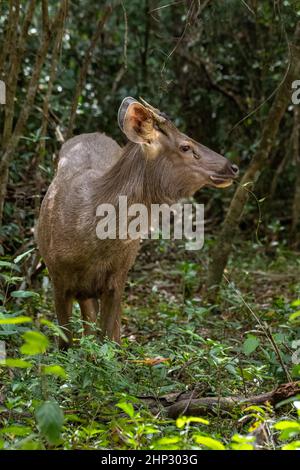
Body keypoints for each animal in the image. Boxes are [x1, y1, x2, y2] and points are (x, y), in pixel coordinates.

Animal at [37, 97, 239, 348]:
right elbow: (65, 344)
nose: (233, 167)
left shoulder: (118, 276)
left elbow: (108, 341)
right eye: (185, 146)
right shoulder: (57, 278)